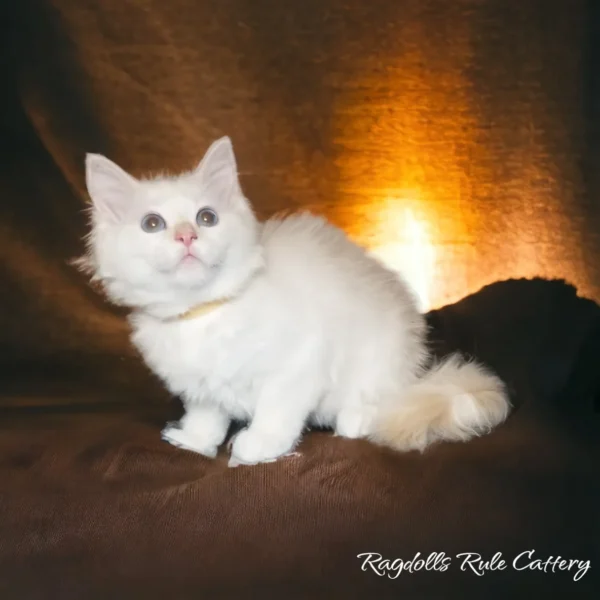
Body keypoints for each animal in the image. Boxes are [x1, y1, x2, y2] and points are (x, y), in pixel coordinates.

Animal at [78, 138, 510, 466]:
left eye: (206, 217)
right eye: (152, 224)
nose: (187, 236)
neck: (205, 313)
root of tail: (412, 374)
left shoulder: (297, 366)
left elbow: (276, 412)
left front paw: (255, 447)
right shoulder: (200, 386)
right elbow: (207, 415)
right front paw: (194, 441)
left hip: (377, 360)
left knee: (377, 402)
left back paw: (355, 419)